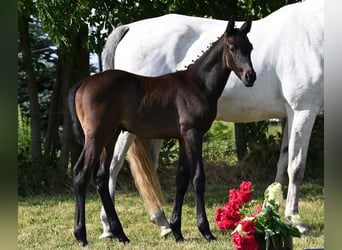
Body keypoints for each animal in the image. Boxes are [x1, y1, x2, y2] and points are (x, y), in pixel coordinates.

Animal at [99, 0, 324, 239]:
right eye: (233, 49)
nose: (250, 77)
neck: (313, 33)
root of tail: (130, 28)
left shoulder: (290, 115)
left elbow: (282, 167)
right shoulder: (303, 110)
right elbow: (296, 168)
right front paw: (297, 221)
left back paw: (163, 224)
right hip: (125, 130)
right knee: (113, 165)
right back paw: (109, 227)